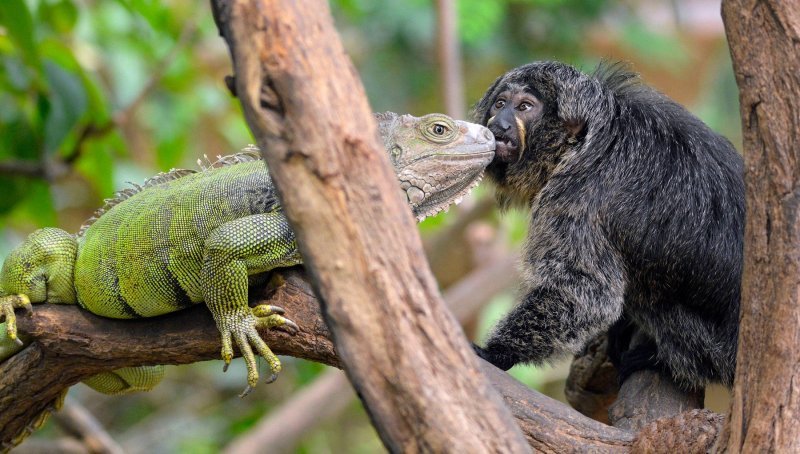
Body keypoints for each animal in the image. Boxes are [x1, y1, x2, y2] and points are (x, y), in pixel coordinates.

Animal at [476, 61, 744, 390]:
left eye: (524, 107)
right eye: (500, 104)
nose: (499, 124)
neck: (578, 144)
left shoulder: (577, 193)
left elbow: (588, 295)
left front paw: (497, 353)